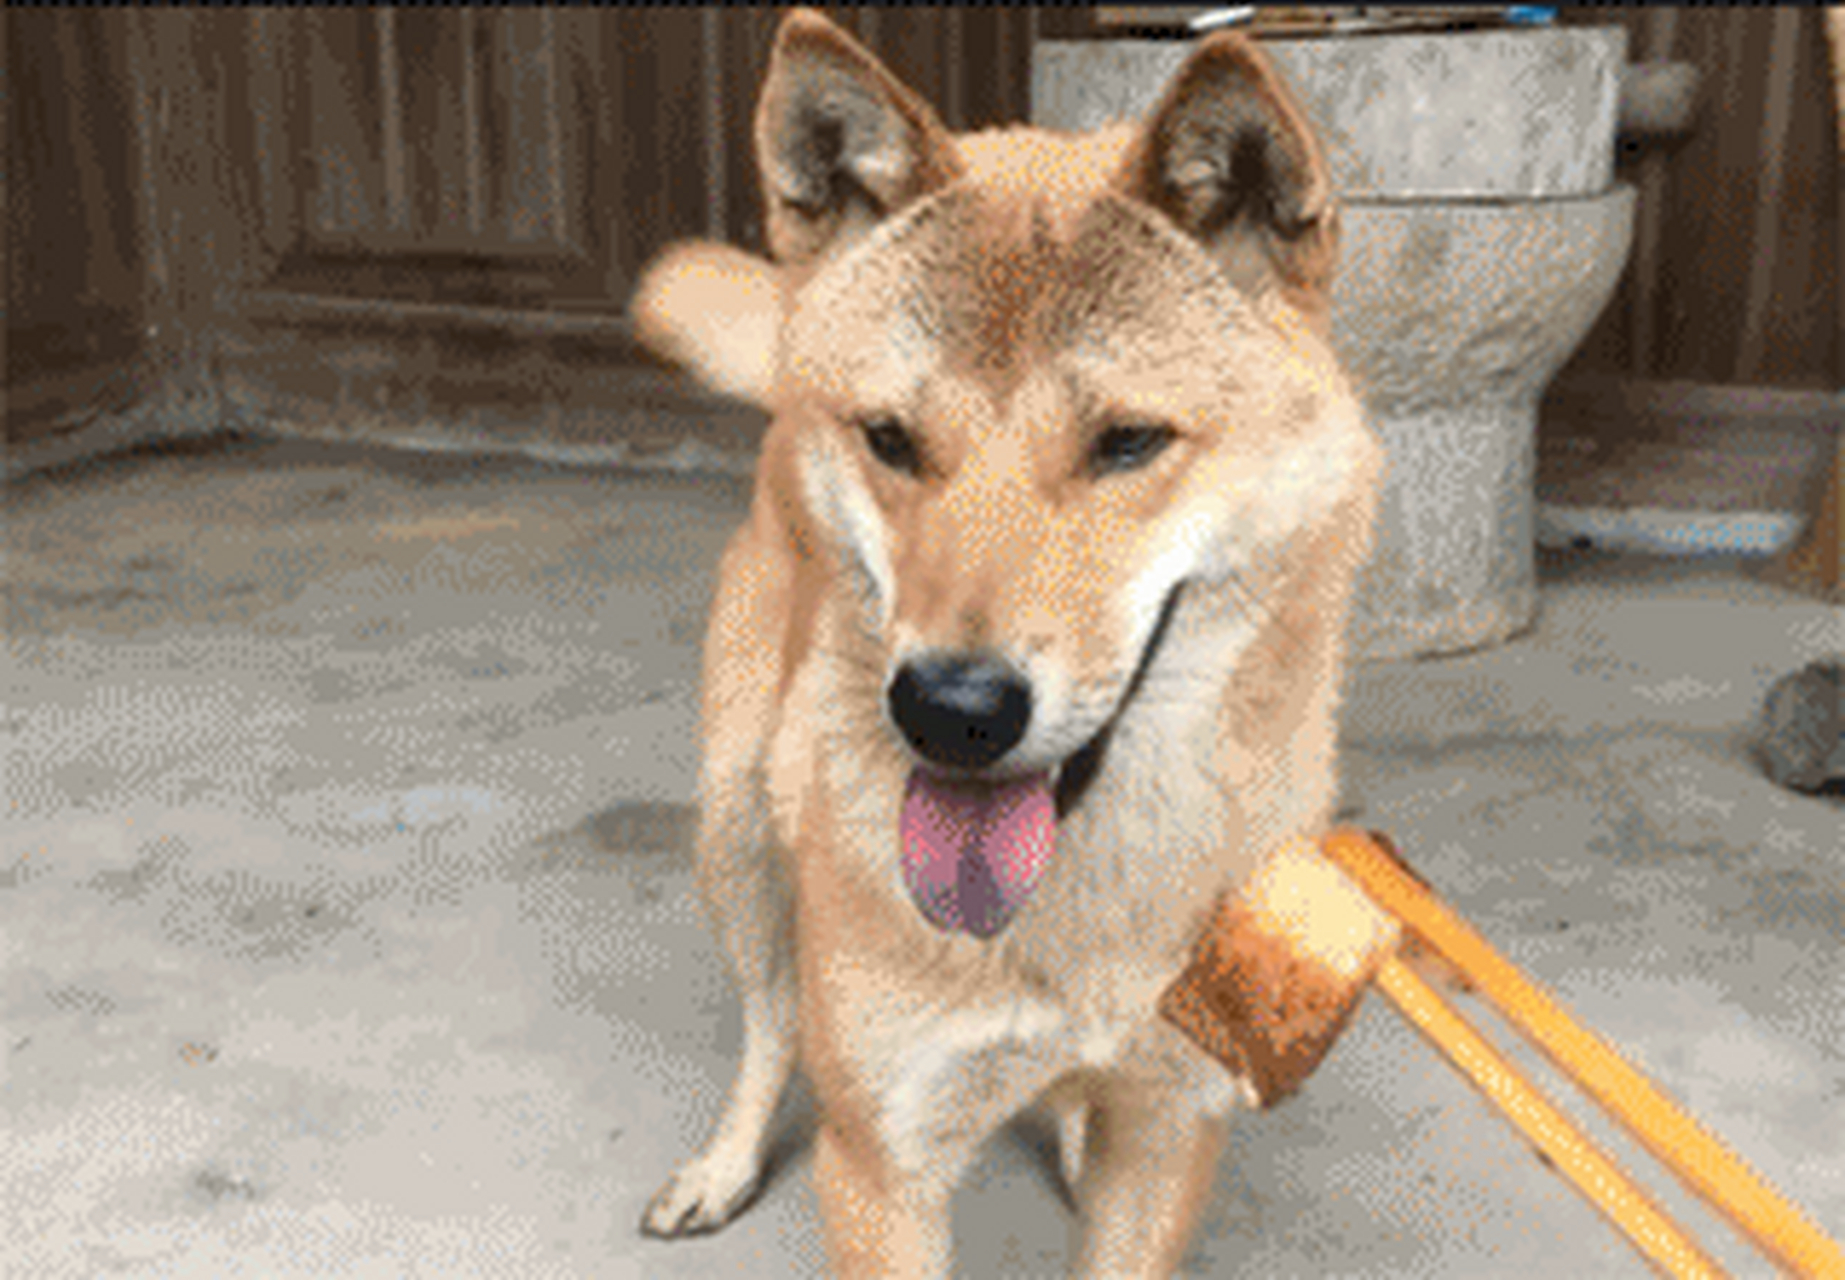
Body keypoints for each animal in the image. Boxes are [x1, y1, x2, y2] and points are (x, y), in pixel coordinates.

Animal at [627, 12, 1380, 1280]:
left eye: (1128, 442)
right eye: (890, 437)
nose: (952, 710)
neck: (1074, 906)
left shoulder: (1168, 1126)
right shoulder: (883, 1166)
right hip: (734, 831)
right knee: (771, 1022)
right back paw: (722, 1163)